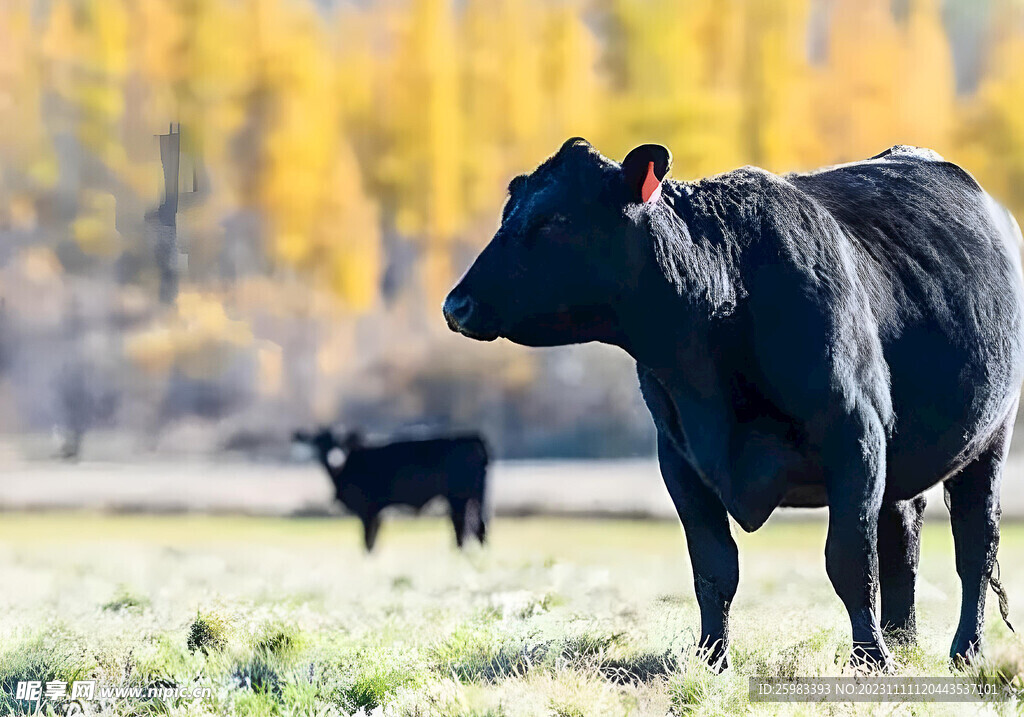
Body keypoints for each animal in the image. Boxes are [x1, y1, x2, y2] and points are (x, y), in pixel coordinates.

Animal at [294, 428, 489, 553]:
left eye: (342, 443)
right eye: (320, 443)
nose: (334, 460)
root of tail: (472, 438)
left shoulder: (368, 509)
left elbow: (368, 541)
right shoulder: (376, 512)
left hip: (459, 498)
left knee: (462, 527)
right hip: (475, 498)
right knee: (479, 527)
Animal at [444, 138, 1024, 671]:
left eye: (556, 219)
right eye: (509, 214)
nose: (456, 305)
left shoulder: (855, 437)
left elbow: (849, 560)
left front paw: (871, 662)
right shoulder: (680, 458)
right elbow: (714, 567)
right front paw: (712, 659)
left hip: (990, 438)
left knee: (976, 544)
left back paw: (962, 652)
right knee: (903, 536)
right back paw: (904, 642)